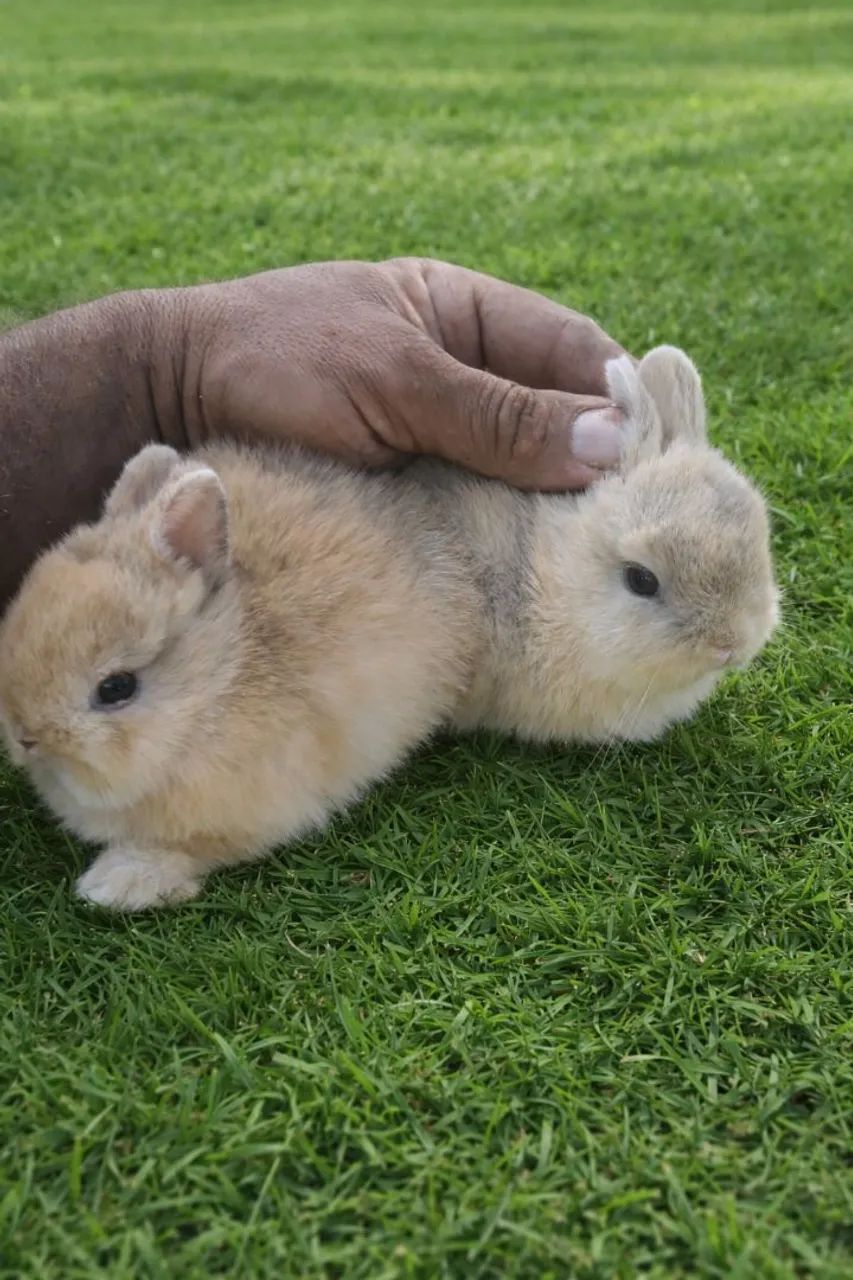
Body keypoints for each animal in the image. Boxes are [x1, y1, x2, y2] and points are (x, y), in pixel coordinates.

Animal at [0, 345, 778, 911]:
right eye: (642, 580)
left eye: (759, 539)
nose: (733, 644)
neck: (543, 570)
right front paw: (115, 885)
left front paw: (113, 883)